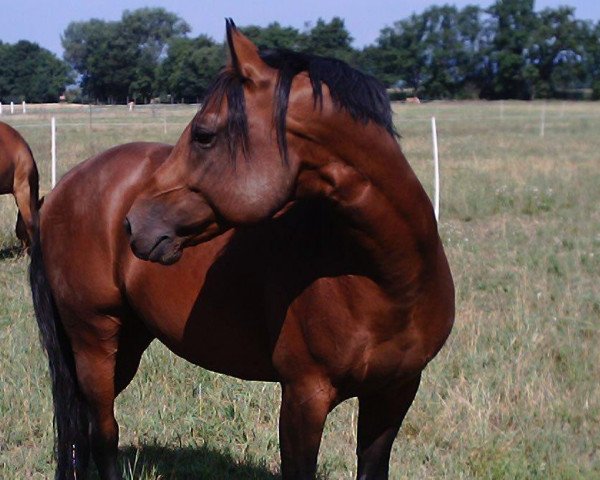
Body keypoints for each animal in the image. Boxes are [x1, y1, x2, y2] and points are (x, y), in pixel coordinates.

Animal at [30, 21, 454, 480]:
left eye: (203, 134)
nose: (133, 224)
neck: (387, 280)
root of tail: (60, 191)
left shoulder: (394, 393)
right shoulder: (305, 396)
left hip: (125, 341)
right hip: (94, 340)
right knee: (104, 434)